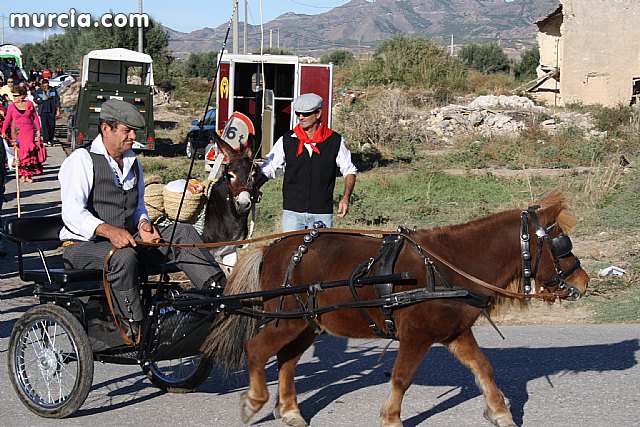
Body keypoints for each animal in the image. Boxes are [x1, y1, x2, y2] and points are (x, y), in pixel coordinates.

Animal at [202, 190, 590, 427]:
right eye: (561, 245)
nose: (584, 282)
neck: (447, 264)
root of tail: (271, 249)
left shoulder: (455, 332)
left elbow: (483, 368)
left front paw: (500, 412)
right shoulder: (416, 335)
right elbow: (402, 377)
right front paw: (391, 417)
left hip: (306, 323)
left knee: (285, 361)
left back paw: (290, 411)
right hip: (287, 321)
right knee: (256, 349)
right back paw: (255, 400)